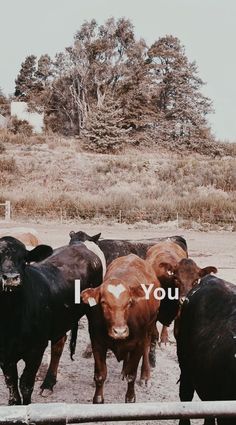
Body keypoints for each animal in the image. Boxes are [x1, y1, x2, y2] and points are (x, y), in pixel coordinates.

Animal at [0, 235, 102, 404]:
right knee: (58, 345)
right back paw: (48, 383)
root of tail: (80, 245)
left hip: (93, 309)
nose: (11, 278)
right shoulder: (5, 354)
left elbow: (26, 384)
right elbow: (12, 387)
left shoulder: (36, 349)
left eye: (24, 260)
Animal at [81, 253, 160, 402]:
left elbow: (132, 375)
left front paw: (130, 398)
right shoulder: (97, 343)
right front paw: (98, 399)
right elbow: (100, 376)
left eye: (129, 302)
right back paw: (124, 370)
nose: (120, 332)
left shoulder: (138, 345)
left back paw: (145, 376)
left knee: (147, 348)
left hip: (150, 325)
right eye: (103, 302)